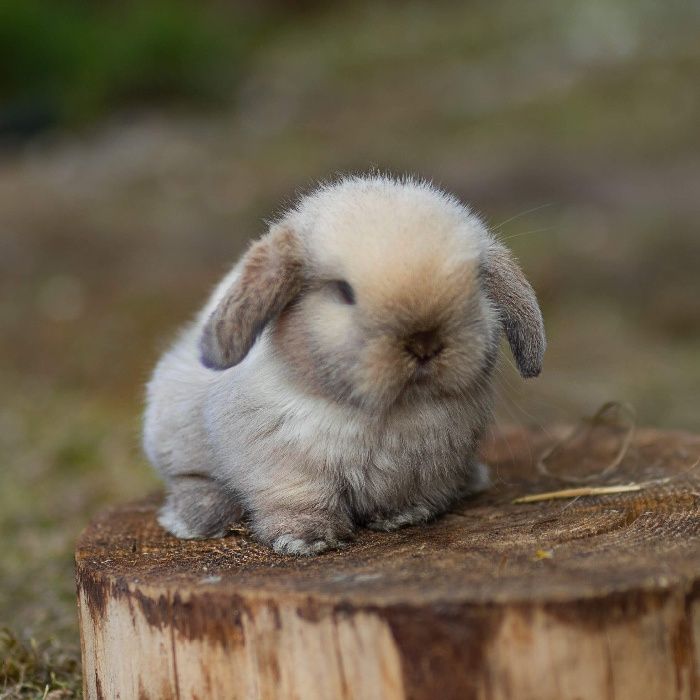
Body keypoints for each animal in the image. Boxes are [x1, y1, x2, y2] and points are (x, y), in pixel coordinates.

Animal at [144, 176, 548, 556]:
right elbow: (298, 500)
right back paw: (196, 517)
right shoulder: (287, 467)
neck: (385, 414)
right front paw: (305, 541)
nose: (424, 344)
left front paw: (403, 516)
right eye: (344, 291)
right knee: (190, 478)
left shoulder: (424, 468)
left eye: (475, 284)